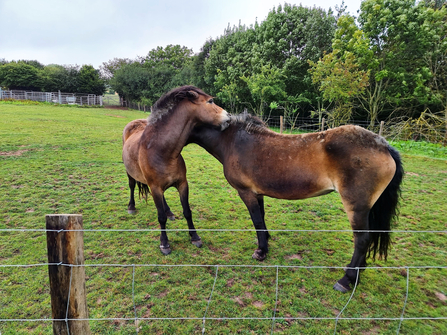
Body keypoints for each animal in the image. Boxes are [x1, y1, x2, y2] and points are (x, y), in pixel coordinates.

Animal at [122, 86, 231, 255]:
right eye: (210, 101)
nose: (229, 118)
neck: (162, 151)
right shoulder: (155, 187)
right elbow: (160, 217)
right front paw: (164, 244)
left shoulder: (182, 184)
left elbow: (187, 211)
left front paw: (195, 237)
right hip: (131, 174)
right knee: (132, 186)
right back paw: (131, 207)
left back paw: (169, 212)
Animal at [187, 114, 404, 292]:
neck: (233, 141)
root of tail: (384, 146)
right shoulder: (258, 193)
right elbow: (262, 219)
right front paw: (266, 243)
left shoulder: (246, 192)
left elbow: (256, 221)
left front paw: (261, 252)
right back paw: (357, 273)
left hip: (356, 207)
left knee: (362, 240)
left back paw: (346, 280)